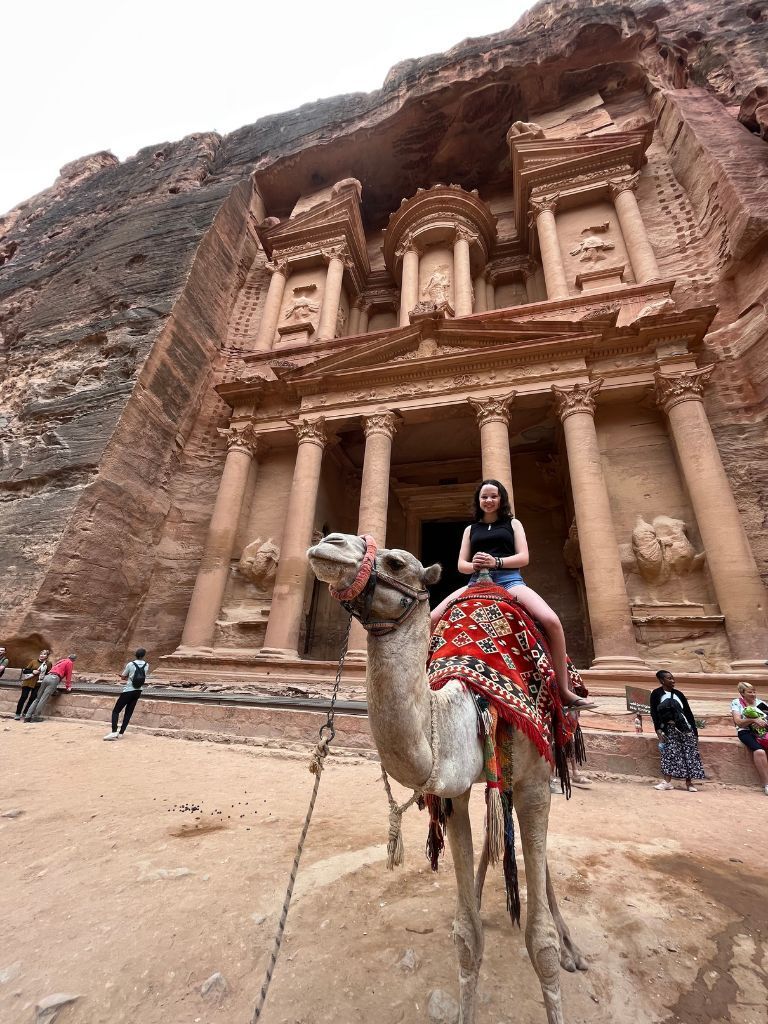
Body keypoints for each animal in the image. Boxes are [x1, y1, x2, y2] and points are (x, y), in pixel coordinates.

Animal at [307, 532, 589, 1024]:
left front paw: (557, 949)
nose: (328, 543)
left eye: (397, 563)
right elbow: (467, 936)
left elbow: (541, 942)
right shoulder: (454, 790)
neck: (472, 696)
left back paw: (571, 945)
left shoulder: (535, 779)